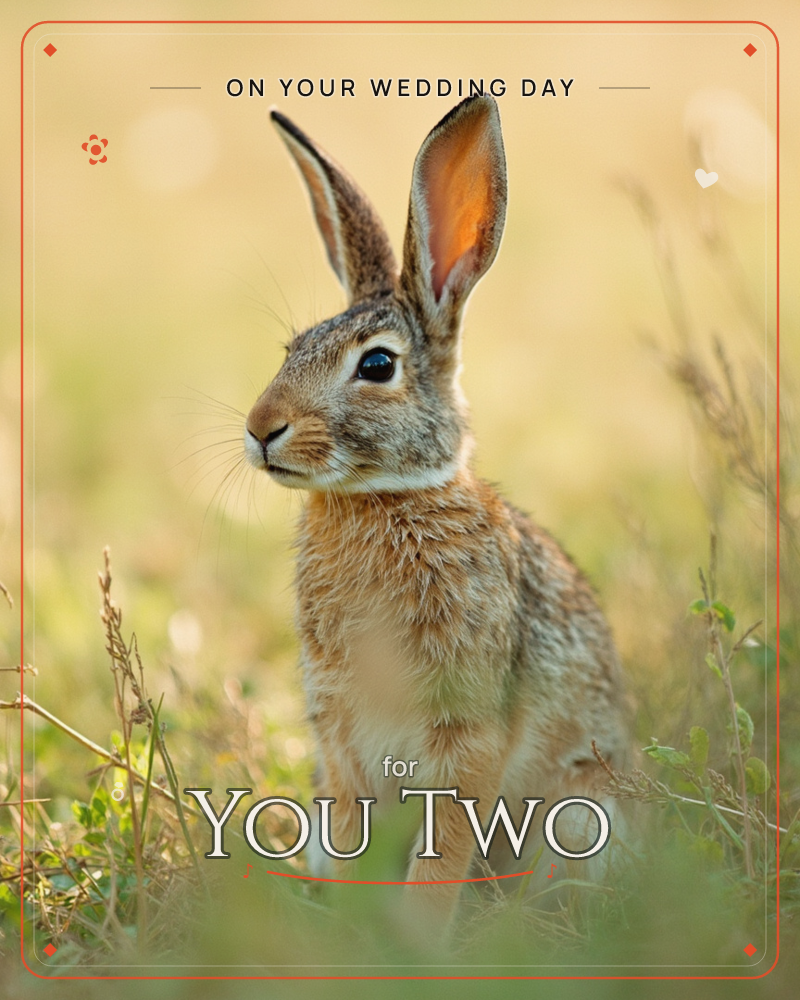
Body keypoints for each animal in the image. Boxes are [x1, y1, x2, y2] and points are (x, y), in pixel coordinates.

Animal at [245, 94, 629, 923]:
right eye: (292, 349)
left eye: (377, 365)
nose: (261, 429)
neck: (382, 495)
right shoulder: (340, 737)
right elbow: (354, 834)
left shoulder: (466, 729)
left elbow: (443, 849)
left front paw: (412, 937)